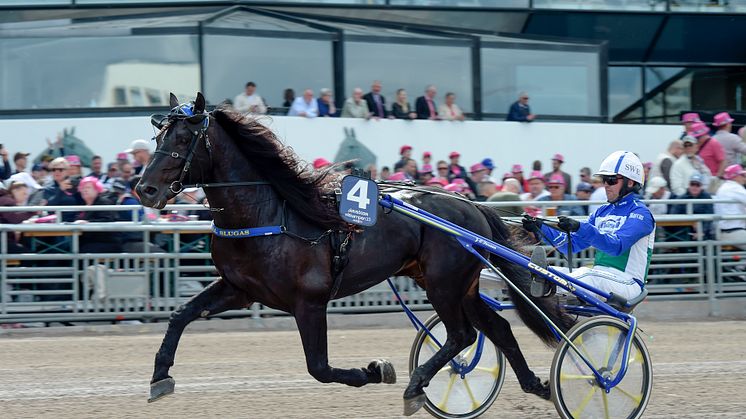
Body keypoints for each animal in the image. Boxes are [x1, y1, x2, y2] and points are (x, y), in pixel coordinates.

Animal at [137, 92, 572, 416]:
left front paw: (378, 370)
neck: (268, 215)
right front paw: (160, 376)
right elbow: (180, 315)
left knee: (462, 334)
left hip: (444, 283)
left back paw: (417, 385)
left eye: (183, 140)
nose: (145, 190)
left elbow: (319, 367)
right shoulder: (238, 288)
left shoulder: (309, 302)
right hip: (455, 284)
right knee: (496, 329)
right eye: (159, 138)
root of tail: (472, 206)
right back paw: (537, 385)